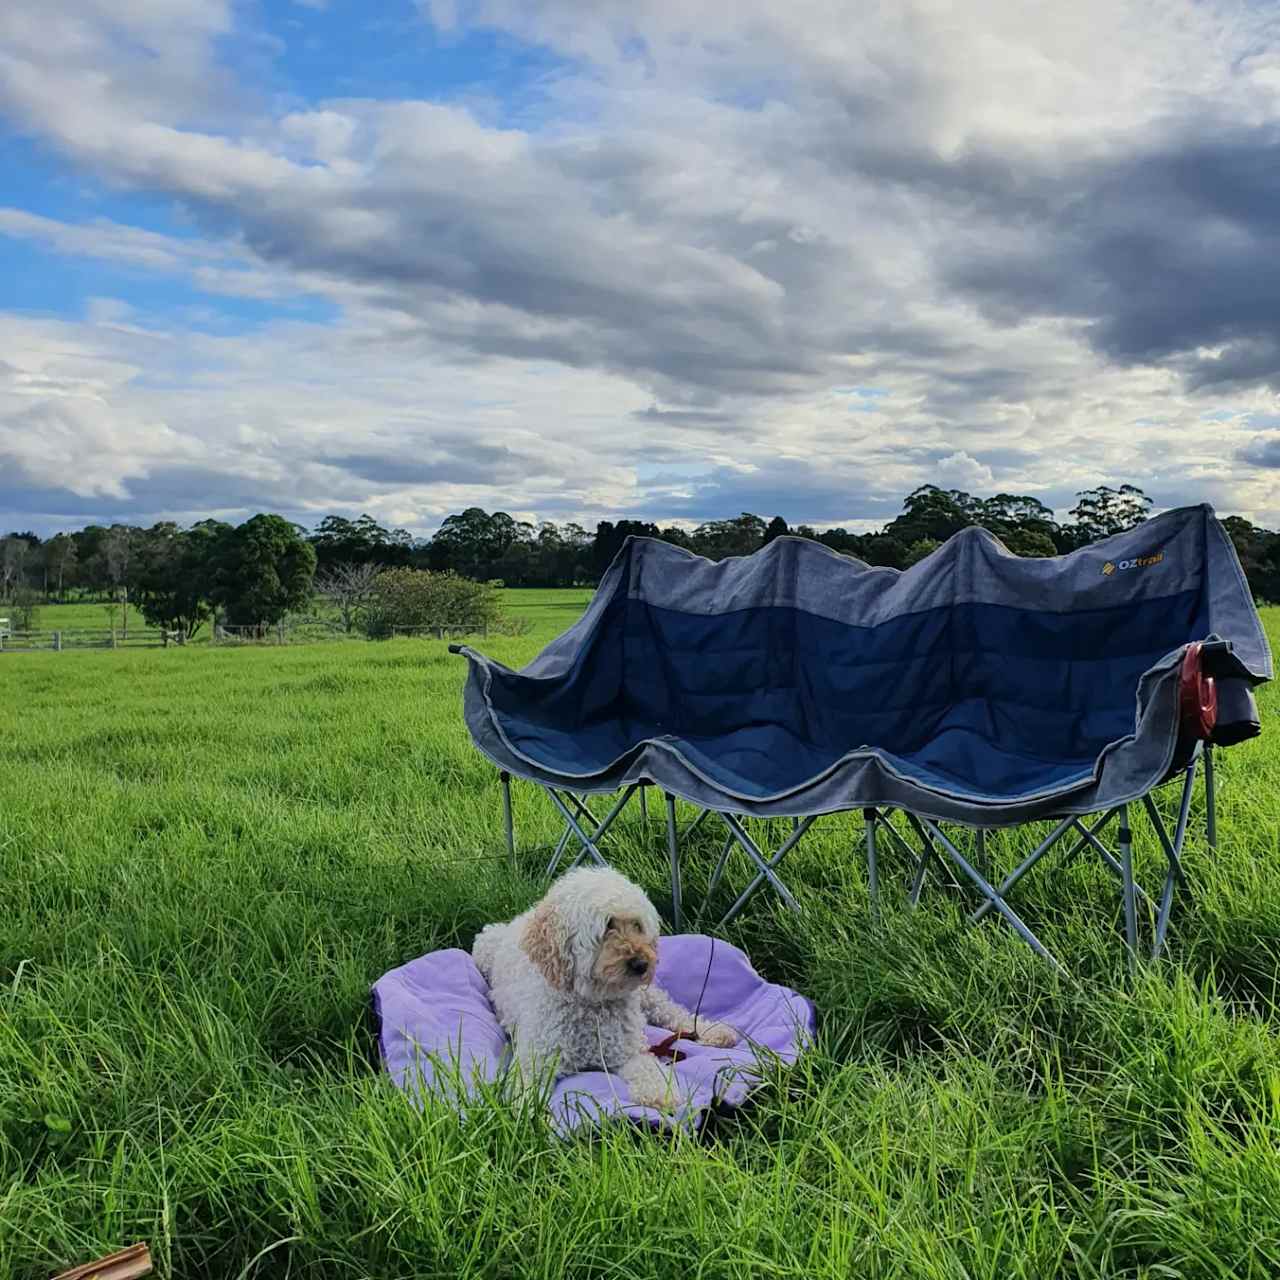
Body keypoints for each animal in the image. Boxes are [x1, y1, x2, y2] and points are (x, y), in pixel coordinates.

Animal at [473, 870, 742, 1111]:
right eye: (608, 925)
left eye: (637, 925)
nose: (642, 963)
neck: (592, 1005)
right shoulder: (534, 1062)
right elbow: (522, 1094)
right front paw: (521, 1118)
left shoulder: (628, 1052)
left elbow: (649, 1068)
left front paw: (660, 1093)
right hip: (482, 947)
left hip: (647, 996)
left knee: (674, 1012)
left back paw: (713, 1032)